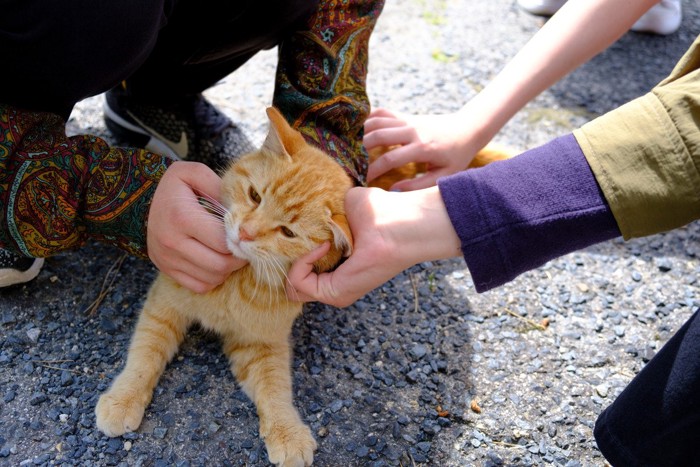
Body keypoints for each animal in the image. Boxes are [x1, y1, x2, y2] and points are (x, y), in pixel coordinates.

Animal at [95, 108, 352, 466]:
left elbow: (275, 386)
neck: (238, 281)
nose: (245, 232)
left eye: (287, 232)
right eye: (255, 196)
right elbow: (145, 352)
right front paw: (124, 398)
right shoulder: (165, 303)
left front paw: (287, 431)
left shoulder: (261, 342)